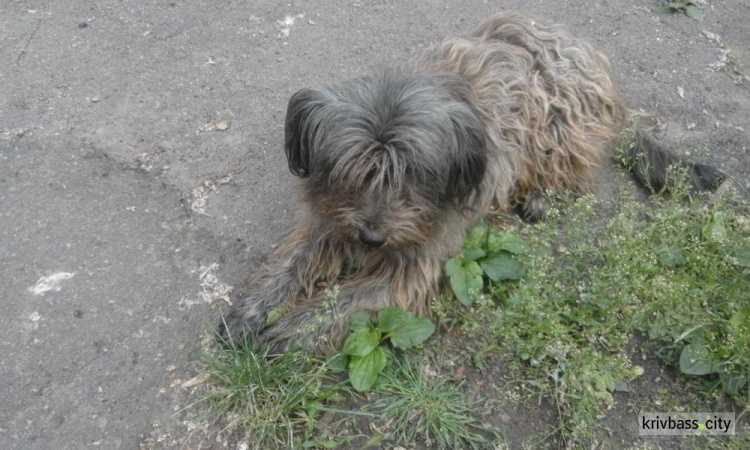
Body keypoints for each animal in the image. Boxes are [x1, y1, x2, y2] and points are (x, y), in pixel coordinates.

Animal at [220, 11, 724, 352]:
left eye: (413, 175)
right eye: (354, 171)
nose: (372, 238)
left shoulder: (413, 265)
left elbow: (341, 301)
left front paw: (287, 331)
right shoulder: (328, 219)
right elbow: (289, 265)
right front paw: (250, 312)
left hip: (558, 124)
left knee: (582, 177)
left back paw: (541, 199)